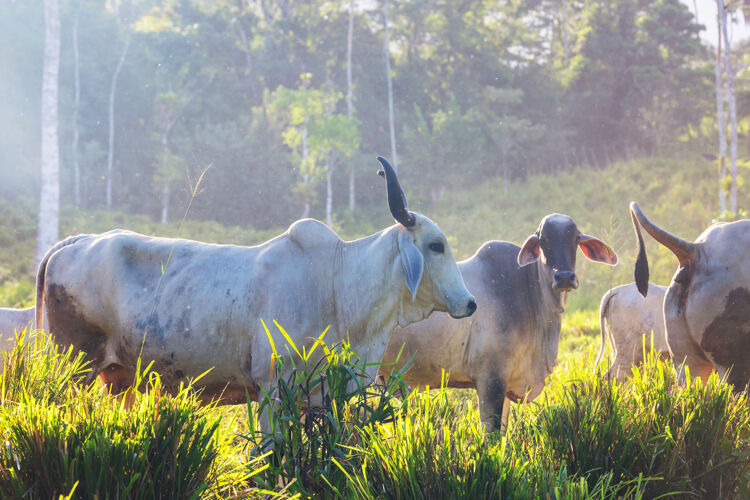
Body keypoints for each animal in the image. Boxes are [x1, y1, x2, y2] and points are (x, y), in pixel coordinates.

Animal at [36, 158, 476, 408]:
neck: (338, 285)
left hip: (118, 379)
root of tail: (76, 241)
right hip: (75, 368)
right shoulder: (272, 386)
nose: (471, 303)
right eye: (436, 245)